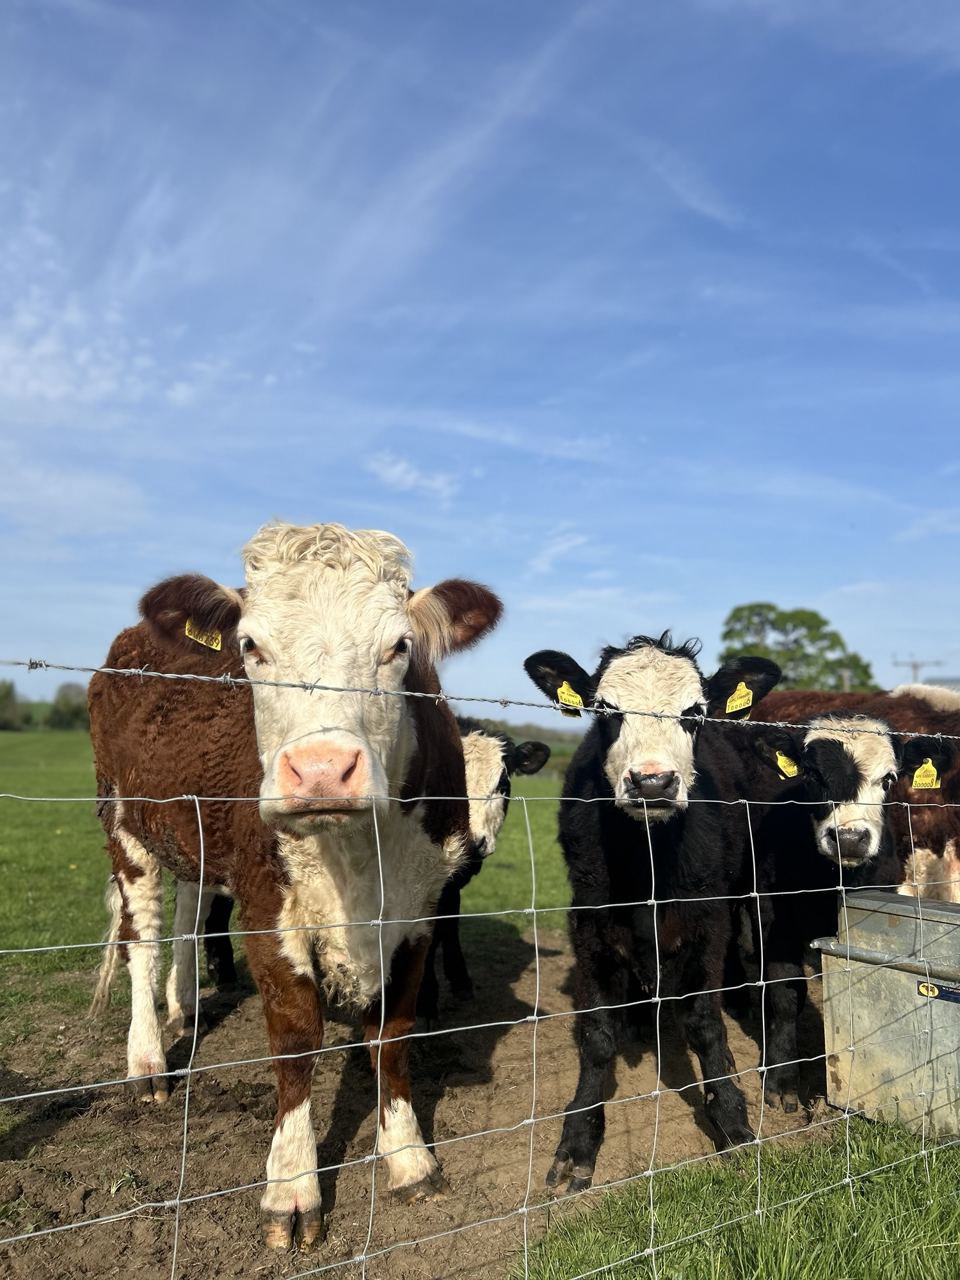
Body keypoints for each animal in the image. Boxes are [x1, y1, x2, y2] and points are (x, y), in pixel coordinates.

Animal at [87, 522, 502, 1250]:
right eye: (251, 645)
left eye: (399, 647)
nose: (321, 770)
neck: (361, 862)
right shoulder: (267, 909)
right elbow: (294, 1039)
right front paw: (292, 1185)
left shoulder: (419, 911)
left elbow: (393, 1032)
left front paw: (408, 1157)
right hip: (124, 822)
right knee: (142, 934)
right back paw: (147, 1061)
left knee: (190, 914)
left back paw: (184, 1008)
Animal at [522, 632, 781, 1193]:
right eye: (606, 709)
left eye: (694, 713)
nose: (653, 783)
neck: (649, 865)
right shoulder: (589, 919)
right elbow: (598, 1035)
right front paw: (579, 1138)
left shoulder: (708, 918)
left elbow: (704, 1022)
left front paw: (732, 1120)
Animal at [743, 713, 953, 1113]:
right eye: (811, 775)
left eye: (889, 778)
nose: (850, 838)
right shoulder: (772, 915)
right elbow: (785, 994)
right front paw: (782, 1079)